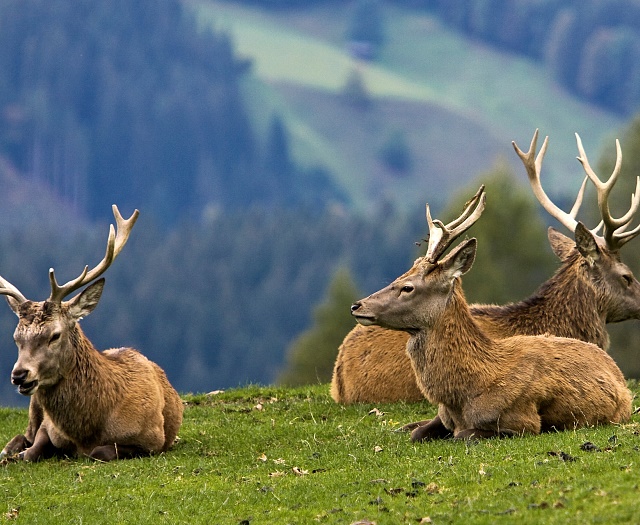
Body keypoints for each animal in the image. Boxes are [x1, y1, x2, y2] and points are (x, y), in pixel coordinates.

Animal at [0, 207, 185, 460]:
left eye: (55, 335)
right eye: (16, 337)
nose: (19, 375)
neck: (88, 432)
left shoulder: (152, 439)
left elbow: (100, 451)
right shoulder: (48, 427)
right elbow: (32, 451)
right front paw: (16, 455)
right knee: (24, 434)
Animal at [350, 186, 632, 440]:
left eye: (408, 287)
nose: (357, 306)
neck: (464, 394)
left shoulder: (522, 421)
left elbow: (463, 436)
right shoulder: (442, 416)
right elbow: (417, 433)